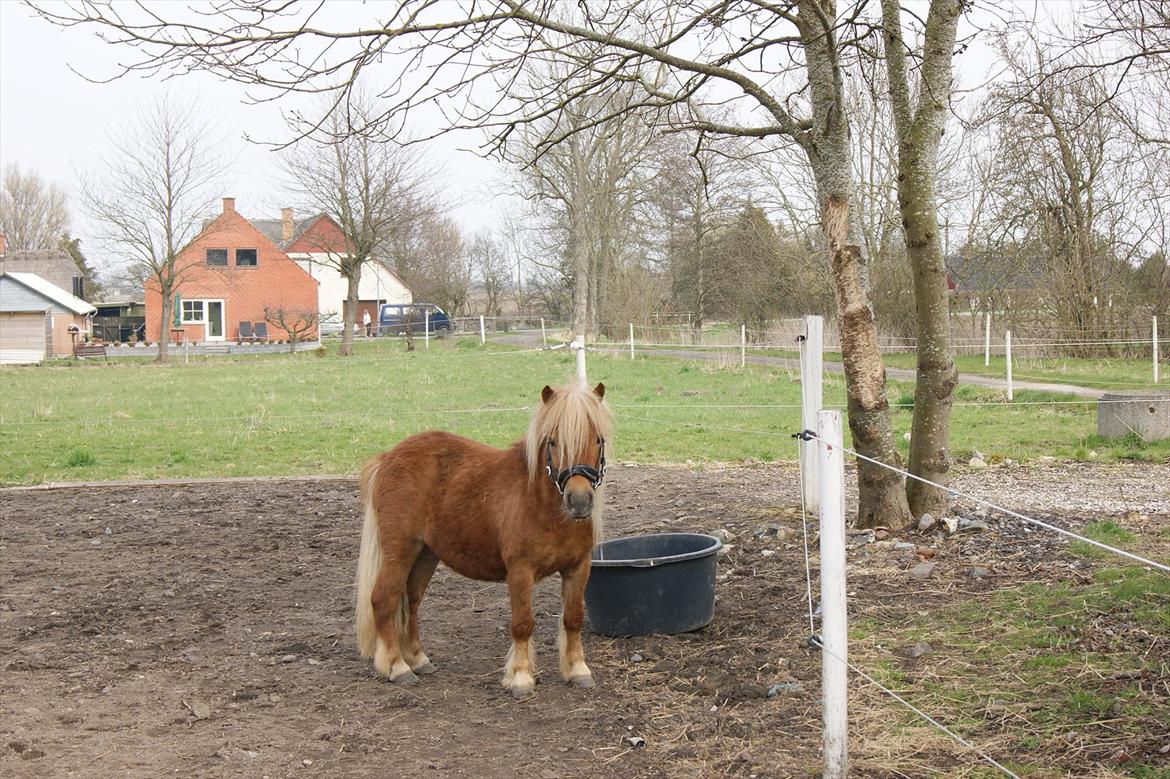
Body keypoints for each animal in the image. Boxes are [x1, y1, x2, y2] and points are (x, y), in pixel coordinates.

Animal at [353, 378, 613, 692]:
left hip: (426, 554)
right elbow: (522, 623)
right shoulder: (520, 571)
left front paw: (577, 670)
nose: (579, 500)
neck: (543, 506)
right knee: (384, 599)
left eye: (598, 439)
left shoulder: (578, 568)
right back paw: (397, 666)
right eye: (553, 441)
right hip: (399, 548)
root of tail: (388, 457)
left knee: (411, 602)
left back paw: (418, 659)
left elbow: (573, 619)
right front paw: (521, 676)